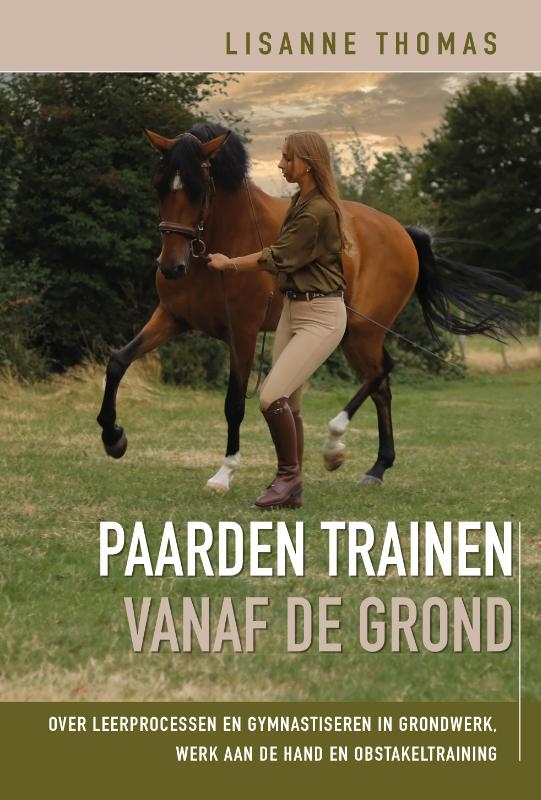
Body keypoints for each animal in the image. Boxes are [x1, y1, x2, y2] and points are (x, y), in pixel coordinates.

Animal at [97, 123, 522, 492]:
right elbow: (118, 361)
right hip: (357, 335)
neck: (224, 240)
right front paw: (113, 436)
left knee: (381, 373)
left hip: (362, 331)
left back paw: (335, 446)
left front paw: (224, 473)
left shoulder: (243, 333)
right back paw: (377, 468)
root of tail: (402, 232)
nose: (171, 267)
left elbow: (234, 403)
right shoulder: (172, 318)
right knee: (382, 386)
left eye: (200, 190)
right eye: (158, 185)